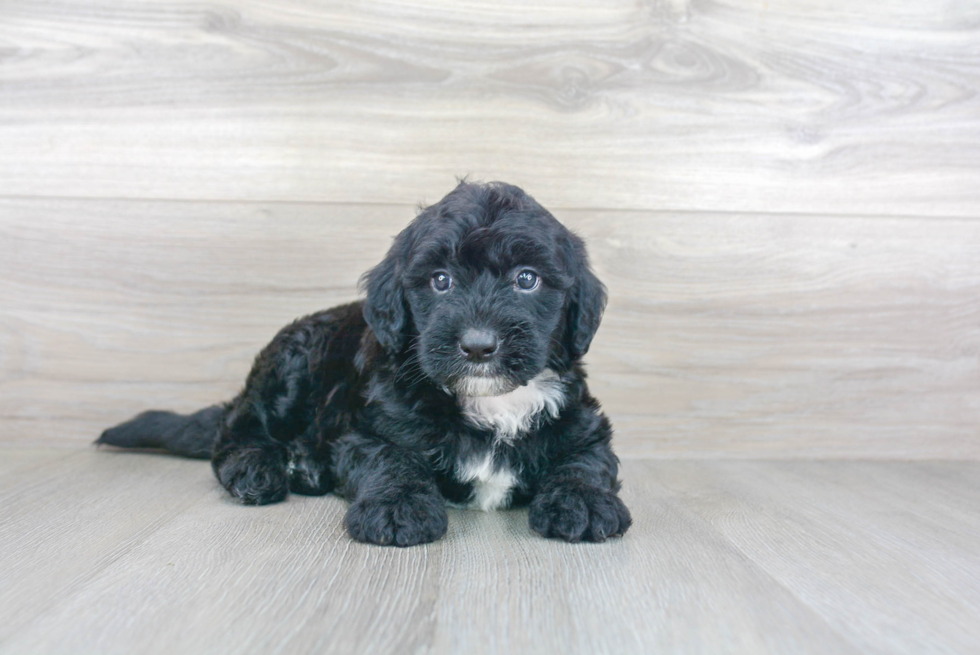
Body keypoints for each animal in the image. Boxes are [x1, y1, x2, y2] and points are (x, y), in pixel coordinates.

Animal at [97, 181, 628, 548]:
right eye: (440, 280)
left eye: (527, 279)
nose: (478, 346)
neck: (489, 401)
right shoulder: (369, 428)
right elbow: (390, 459)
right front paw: (397, 507)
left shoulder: (583, 423)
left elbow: (586, 460)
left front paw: (584, 501)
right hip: (291, 365)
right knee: (237, 426)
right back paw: (258, 468)